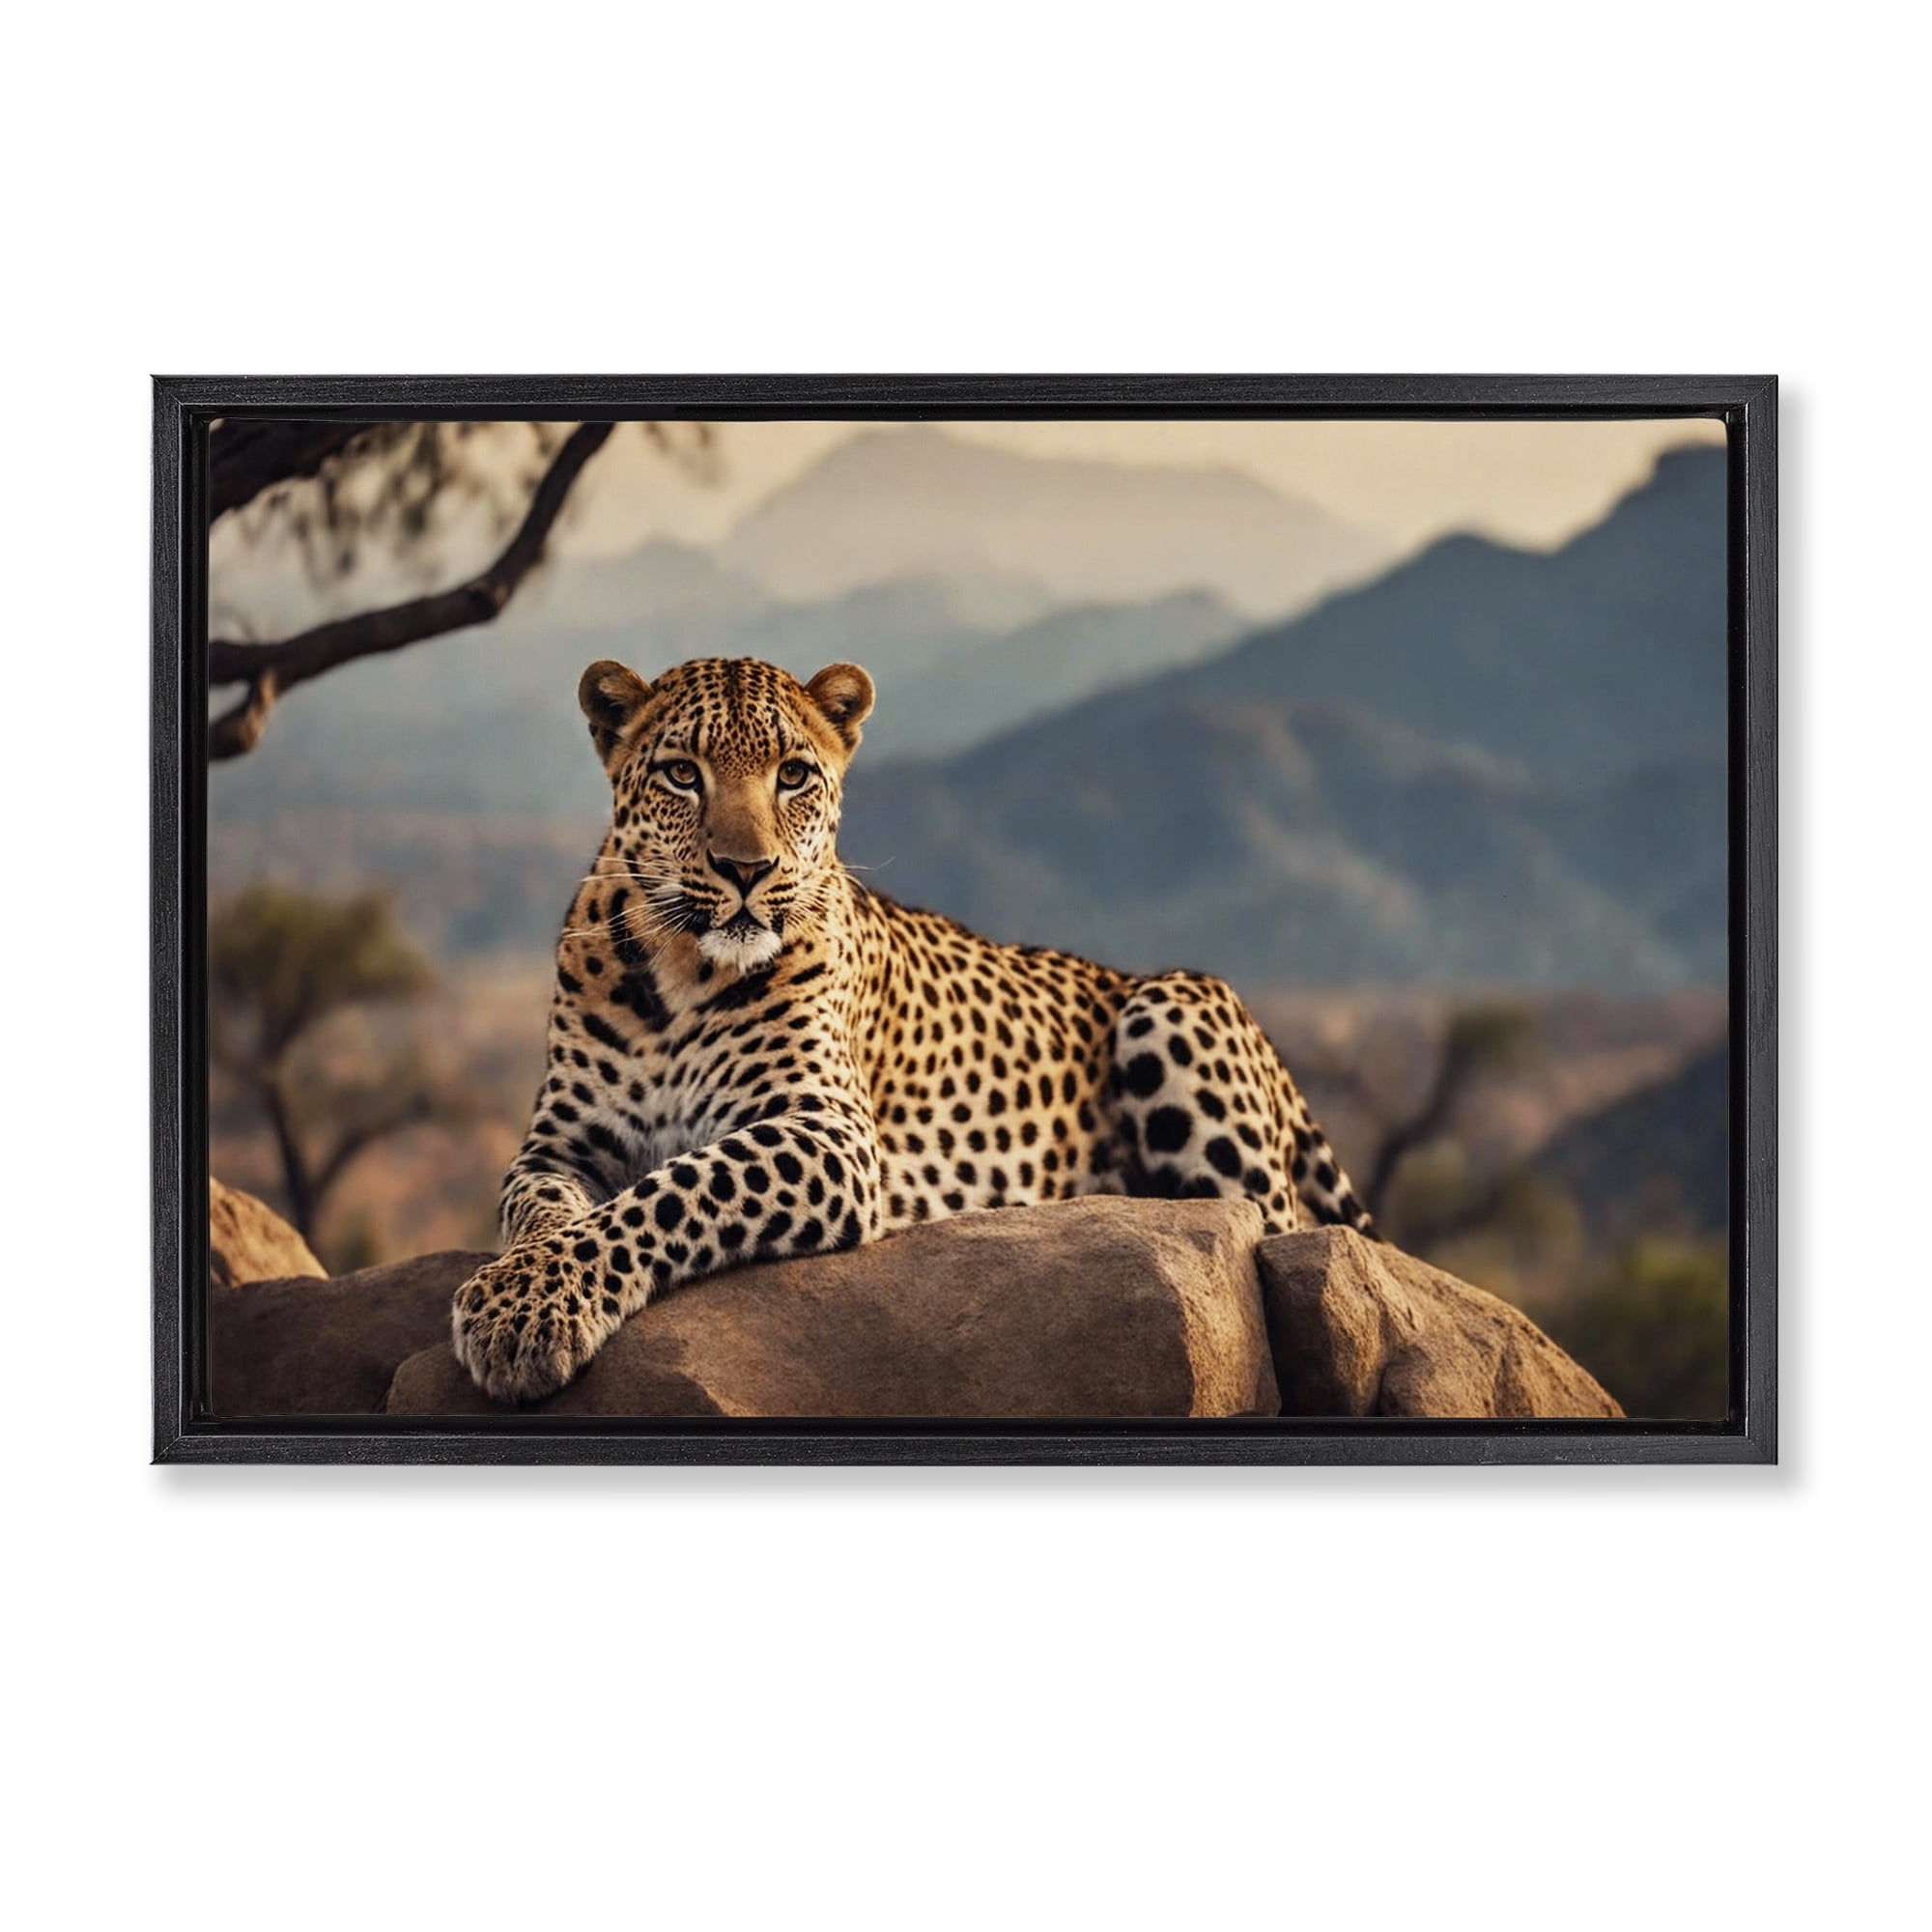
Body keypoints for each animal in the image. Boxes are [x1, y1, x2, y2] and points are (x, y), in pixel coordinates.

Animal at [451, 653, 1376, 1402]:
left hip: (1175, 1010)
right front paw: (520, 1287)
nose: (748, 871)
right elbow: (544, 1209)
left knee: (1270, 1225)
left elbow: (674, 1189)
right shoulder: (561, 1143)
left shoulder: (825, 1131)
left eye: (794, 775)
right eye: (682, 773)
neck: (682, 968)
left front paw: (523, 1309)